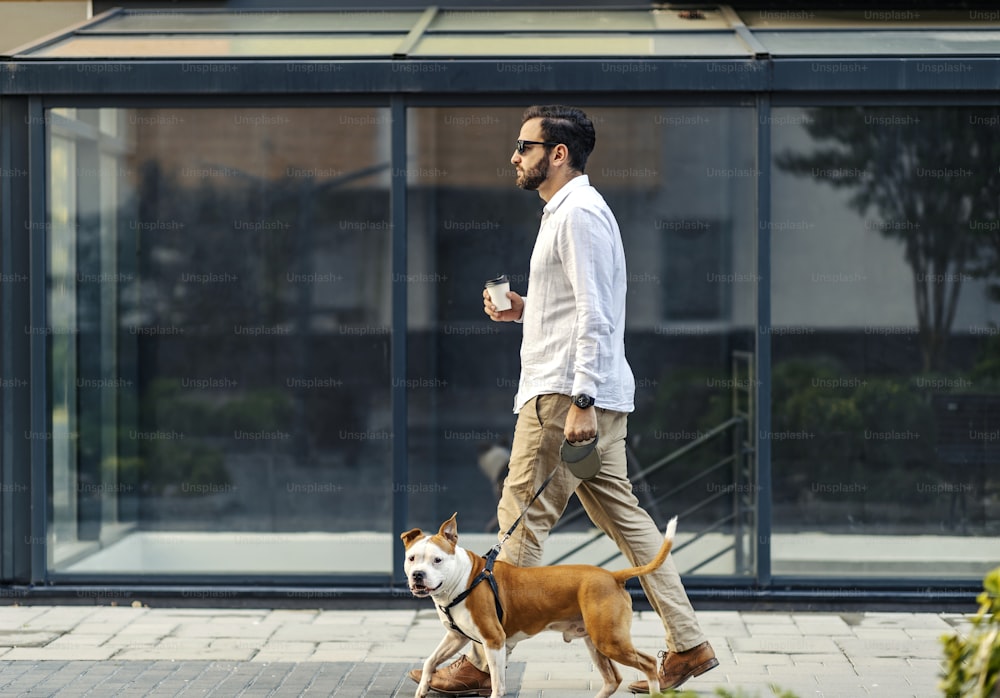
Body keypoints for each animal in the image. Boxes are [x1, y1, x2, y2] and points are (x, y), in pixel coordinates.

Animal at [400, 508, 680, 692]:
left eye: (437, 560)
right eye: (412, 558)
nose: (417, 575)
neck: (464, 579)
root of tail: (613, 575)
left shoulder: (494, 640)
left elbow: (497, 684)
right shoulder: (456, 636)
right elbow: (430, 661)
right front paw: (423, 688)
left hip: (610, 639)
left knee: (648, 663)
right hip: (597, 641)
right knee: (613, 679)